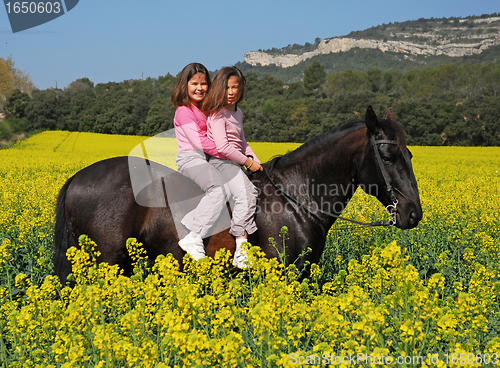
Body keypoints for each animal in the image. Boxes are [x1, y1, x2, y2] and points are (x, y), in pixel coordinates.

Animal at [53, 105, 422, 284]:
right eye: (389, 155)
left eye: (410, 154)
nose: (413, 213)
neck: (297, 198)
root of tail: (76, 178)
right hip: (106, 261)